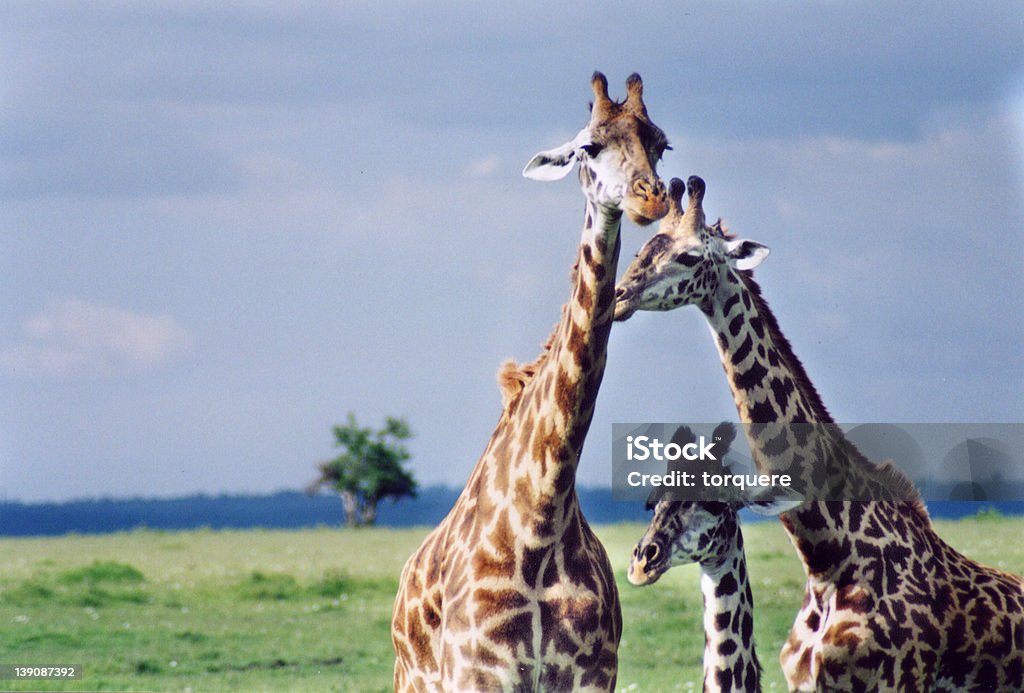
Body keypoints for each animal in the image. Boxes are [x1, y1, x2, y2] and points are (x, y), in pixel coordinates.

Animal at [391, 73, 671, 687]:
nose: (652, 198)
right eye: (589, 147)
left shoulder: (594, 674)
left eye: (661, 145)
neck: (540, 523)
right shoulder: (482, 674)